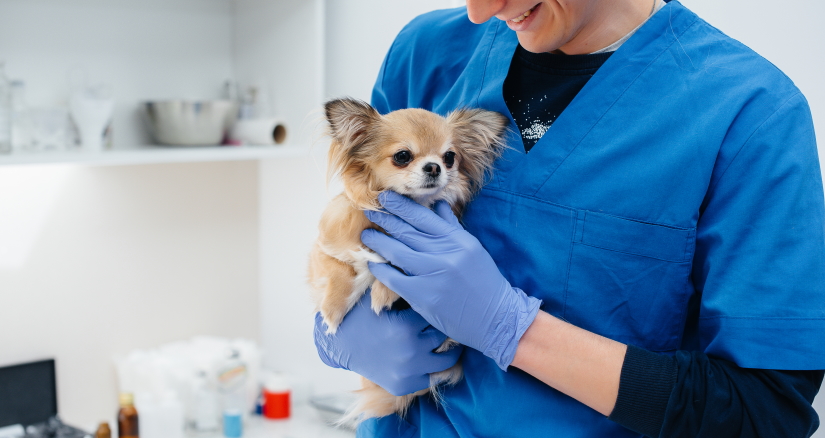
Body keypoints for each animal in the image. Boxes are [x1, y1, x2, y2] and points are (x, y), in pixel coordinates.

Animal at [306, 98, 506, 420]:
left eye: (449, 157)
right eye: (402, 156)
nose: (435, 166)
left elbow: (397, 265)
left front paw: (382, 291)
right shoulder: (323, 250)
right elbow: (341, 271)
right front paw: (332, 315)